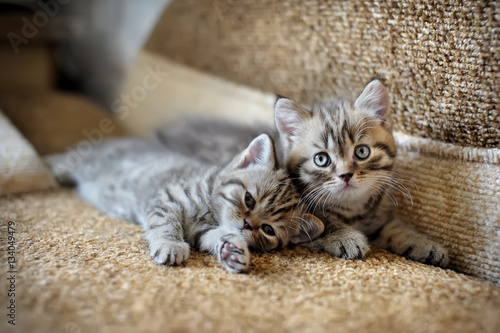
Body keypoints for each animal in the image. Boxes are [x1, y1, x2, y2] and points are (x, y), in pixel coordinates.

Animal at [47, 134, 324, 272]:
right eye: (249, 199)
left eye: (267, 230)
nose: (247, 224)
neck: (210, 212)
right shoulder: (165, 198)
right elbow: (165, 225)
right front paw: (170, 245)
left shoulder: (204, 232)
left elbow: (217, 237)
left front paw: (232, 250)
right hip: (81, 162)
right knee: (62, 161)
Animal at [156, 79, 450, 266]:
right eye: (321, 159)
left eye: (362, 152)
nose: (346, 175)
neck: (354, 210)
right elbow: (325, 225)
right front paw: (346, 237)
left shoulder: (378, 212)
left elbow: (393, 227)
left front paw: (423, 243)